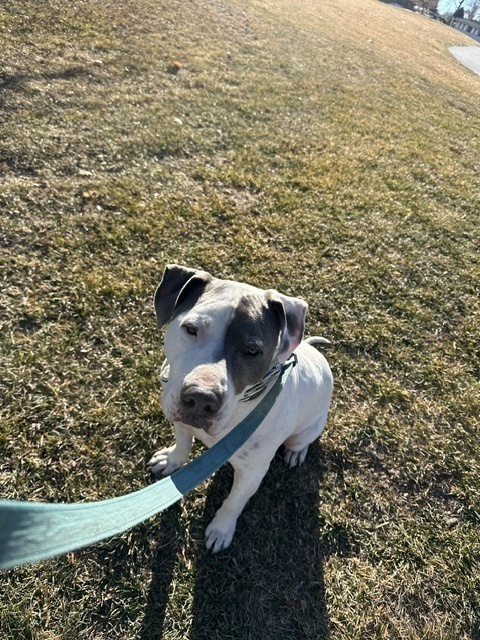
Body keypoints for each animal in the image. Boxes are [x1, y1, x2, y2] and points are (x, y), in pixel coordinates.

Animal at [147, 262, 334, 552]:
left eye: (252, 351)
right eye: (190, 329)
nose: (201, 399)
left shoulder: (252, 472)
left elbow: (234, 502)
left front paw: (221, 530)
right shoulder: (181, 421)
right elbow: (183, 445)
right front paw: (172, 460)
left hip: (308, 428)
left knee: (301, 442)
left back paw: (296, 452)